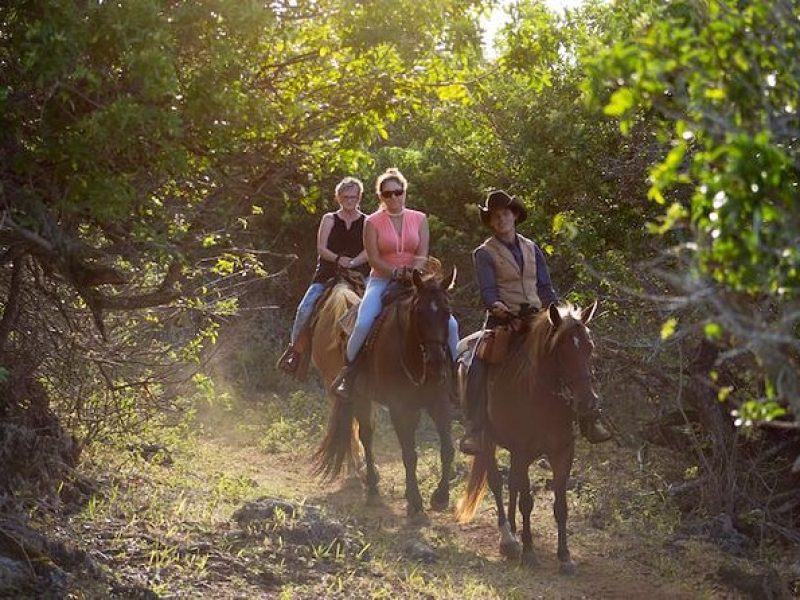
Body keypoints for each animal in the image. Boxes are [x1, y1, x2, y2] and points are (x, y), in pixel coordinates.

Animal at [316, 270, 460, 516]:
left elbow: (447, 449)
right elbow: (409, 454)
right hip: (361, 397)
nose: (436, 363)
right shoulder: (398, 407)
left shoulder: (438, 403)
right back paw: (372, 488)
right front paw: (415, 502)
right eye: (419, 311)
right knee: (366, 436)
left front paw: (440, 497)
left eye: (446, 312)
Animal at [456, 302, 600, 576]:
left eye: (590, 347)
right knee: (498, 483)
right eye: (561, 349)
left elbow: (560, 505)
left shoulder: (562, 452)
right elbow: (526, 501)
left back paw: (514, 532)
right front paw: (529, 552)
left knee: (512, 484)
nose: (587, 402)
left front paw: (565, 557)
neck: (542, 397)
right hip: (488, 441)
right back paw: (509, 539)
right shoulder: (522, 450)